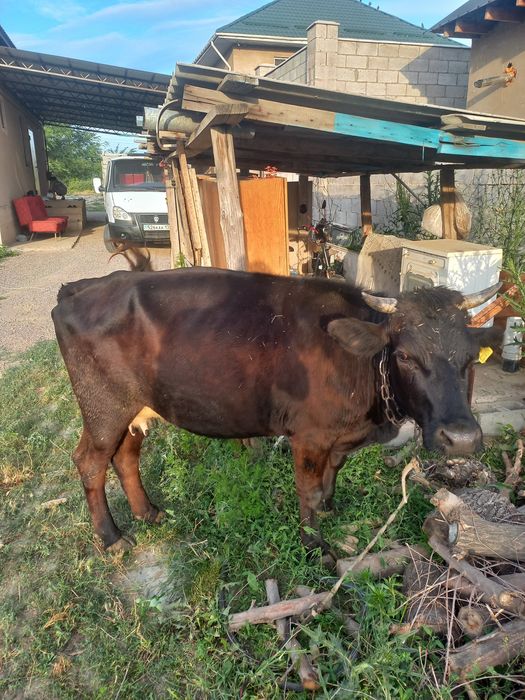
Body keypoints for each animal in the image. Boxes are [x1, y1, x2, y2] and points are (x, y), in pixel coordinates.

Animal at [51, 268, 501, 555]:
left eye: (470, 357)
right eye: (405, 355)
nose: (461, 439)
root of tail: (82, 288)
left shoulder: (336, 437)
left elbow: (331, 475)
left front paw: (329, 510)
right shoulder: (308, 434)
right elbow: (307, 488)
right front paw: (314, 541)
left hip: (134, 410)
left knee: (125, 457)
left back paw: (148, 513)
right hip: (103, 408)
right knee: (90, 462)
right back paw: (112, 538)